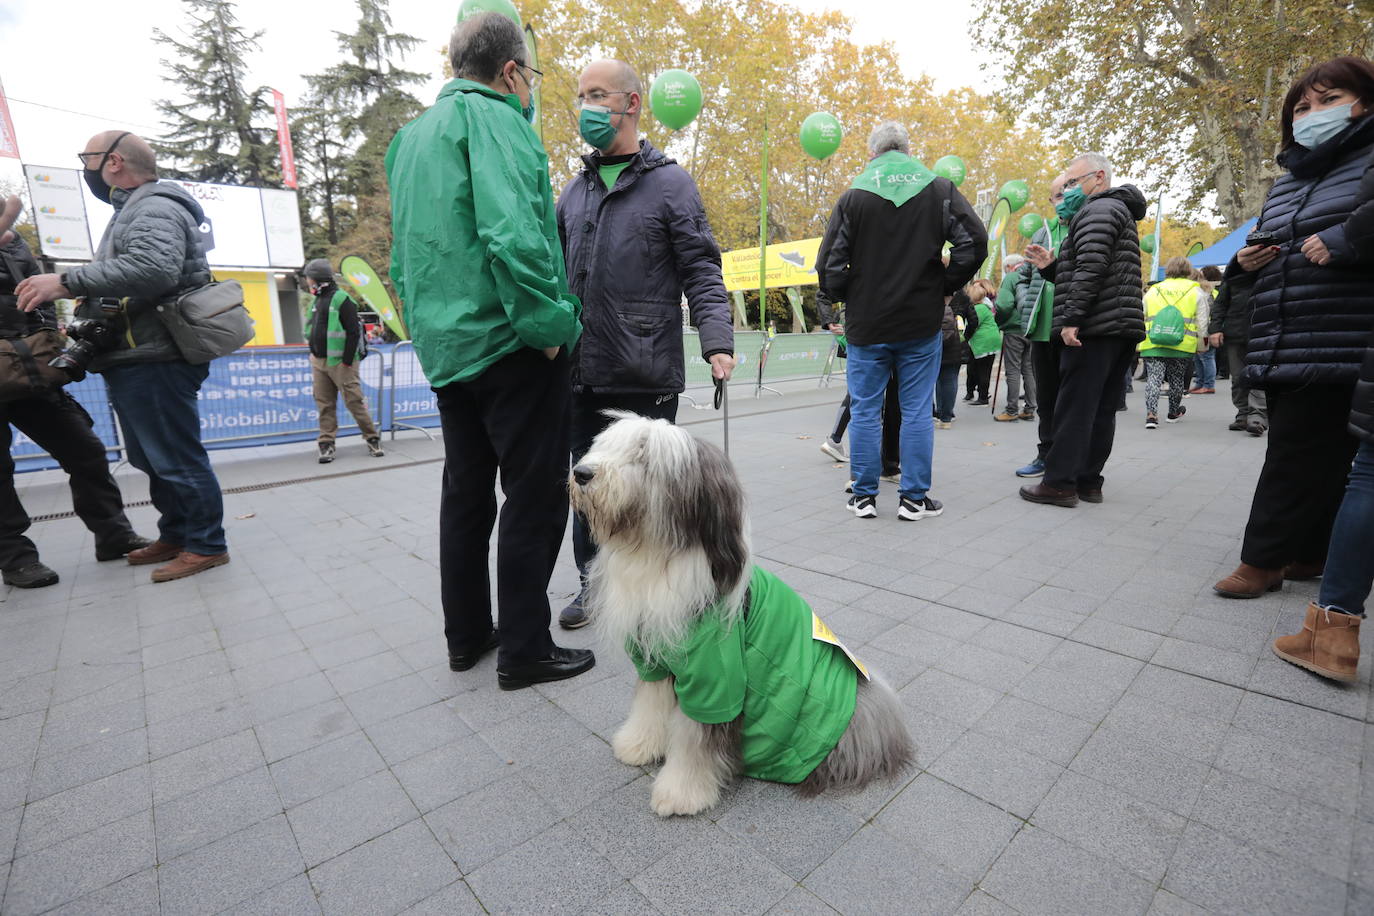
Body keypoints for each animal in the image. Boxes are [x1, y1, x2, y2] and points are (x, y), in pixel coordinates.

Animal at [568, 414, 912, 818]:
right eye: (607, 445)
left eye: (644, 456)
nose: (581, 473)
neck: (658, 559)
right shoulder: (655, 659)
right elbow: (649, 707)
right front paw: (637, 746)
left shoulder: (715, 677)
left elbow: (695, 741)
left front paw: (680, 794)